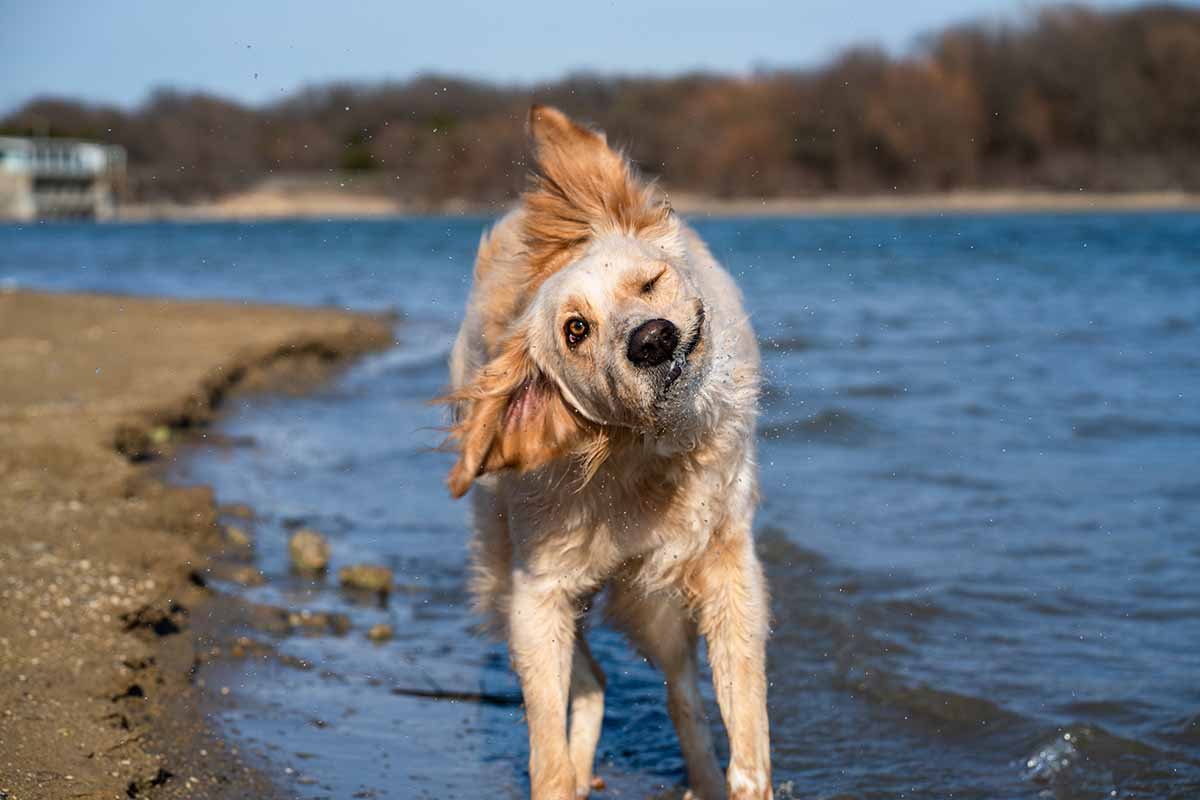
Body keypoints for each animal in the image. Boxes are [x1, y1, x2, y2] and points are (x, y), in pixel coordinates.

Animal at [446, 106, 772, 800]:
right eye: (576, 329)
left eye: (649, 282)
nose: (652, 340)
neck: (640, 456)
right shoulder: (537, 593)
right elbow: (546, 748)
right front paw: (559, 772)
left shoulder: (726, 560)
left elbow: (744, 713)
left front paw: (743, 776)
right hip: (504, 579)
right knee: (592, 682)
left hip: (653, 603)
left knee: (680, 693)